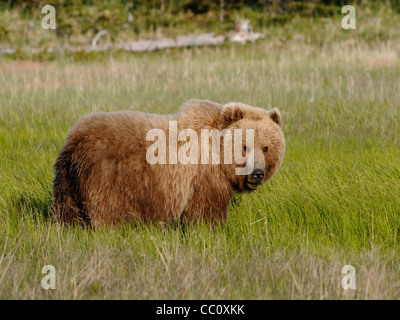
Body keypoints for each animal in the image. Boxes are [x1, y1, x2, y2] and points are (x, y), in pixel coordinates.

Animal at [53, 99, 284, 226]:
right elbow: (206, 211)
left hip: (66, 181)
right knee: (107, 212)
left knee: (67, 211)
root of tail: (76, 140)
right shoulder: (203, 177)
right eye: (245, 146)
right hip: (109, 178)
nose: (257, 173)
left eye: (266, 147)